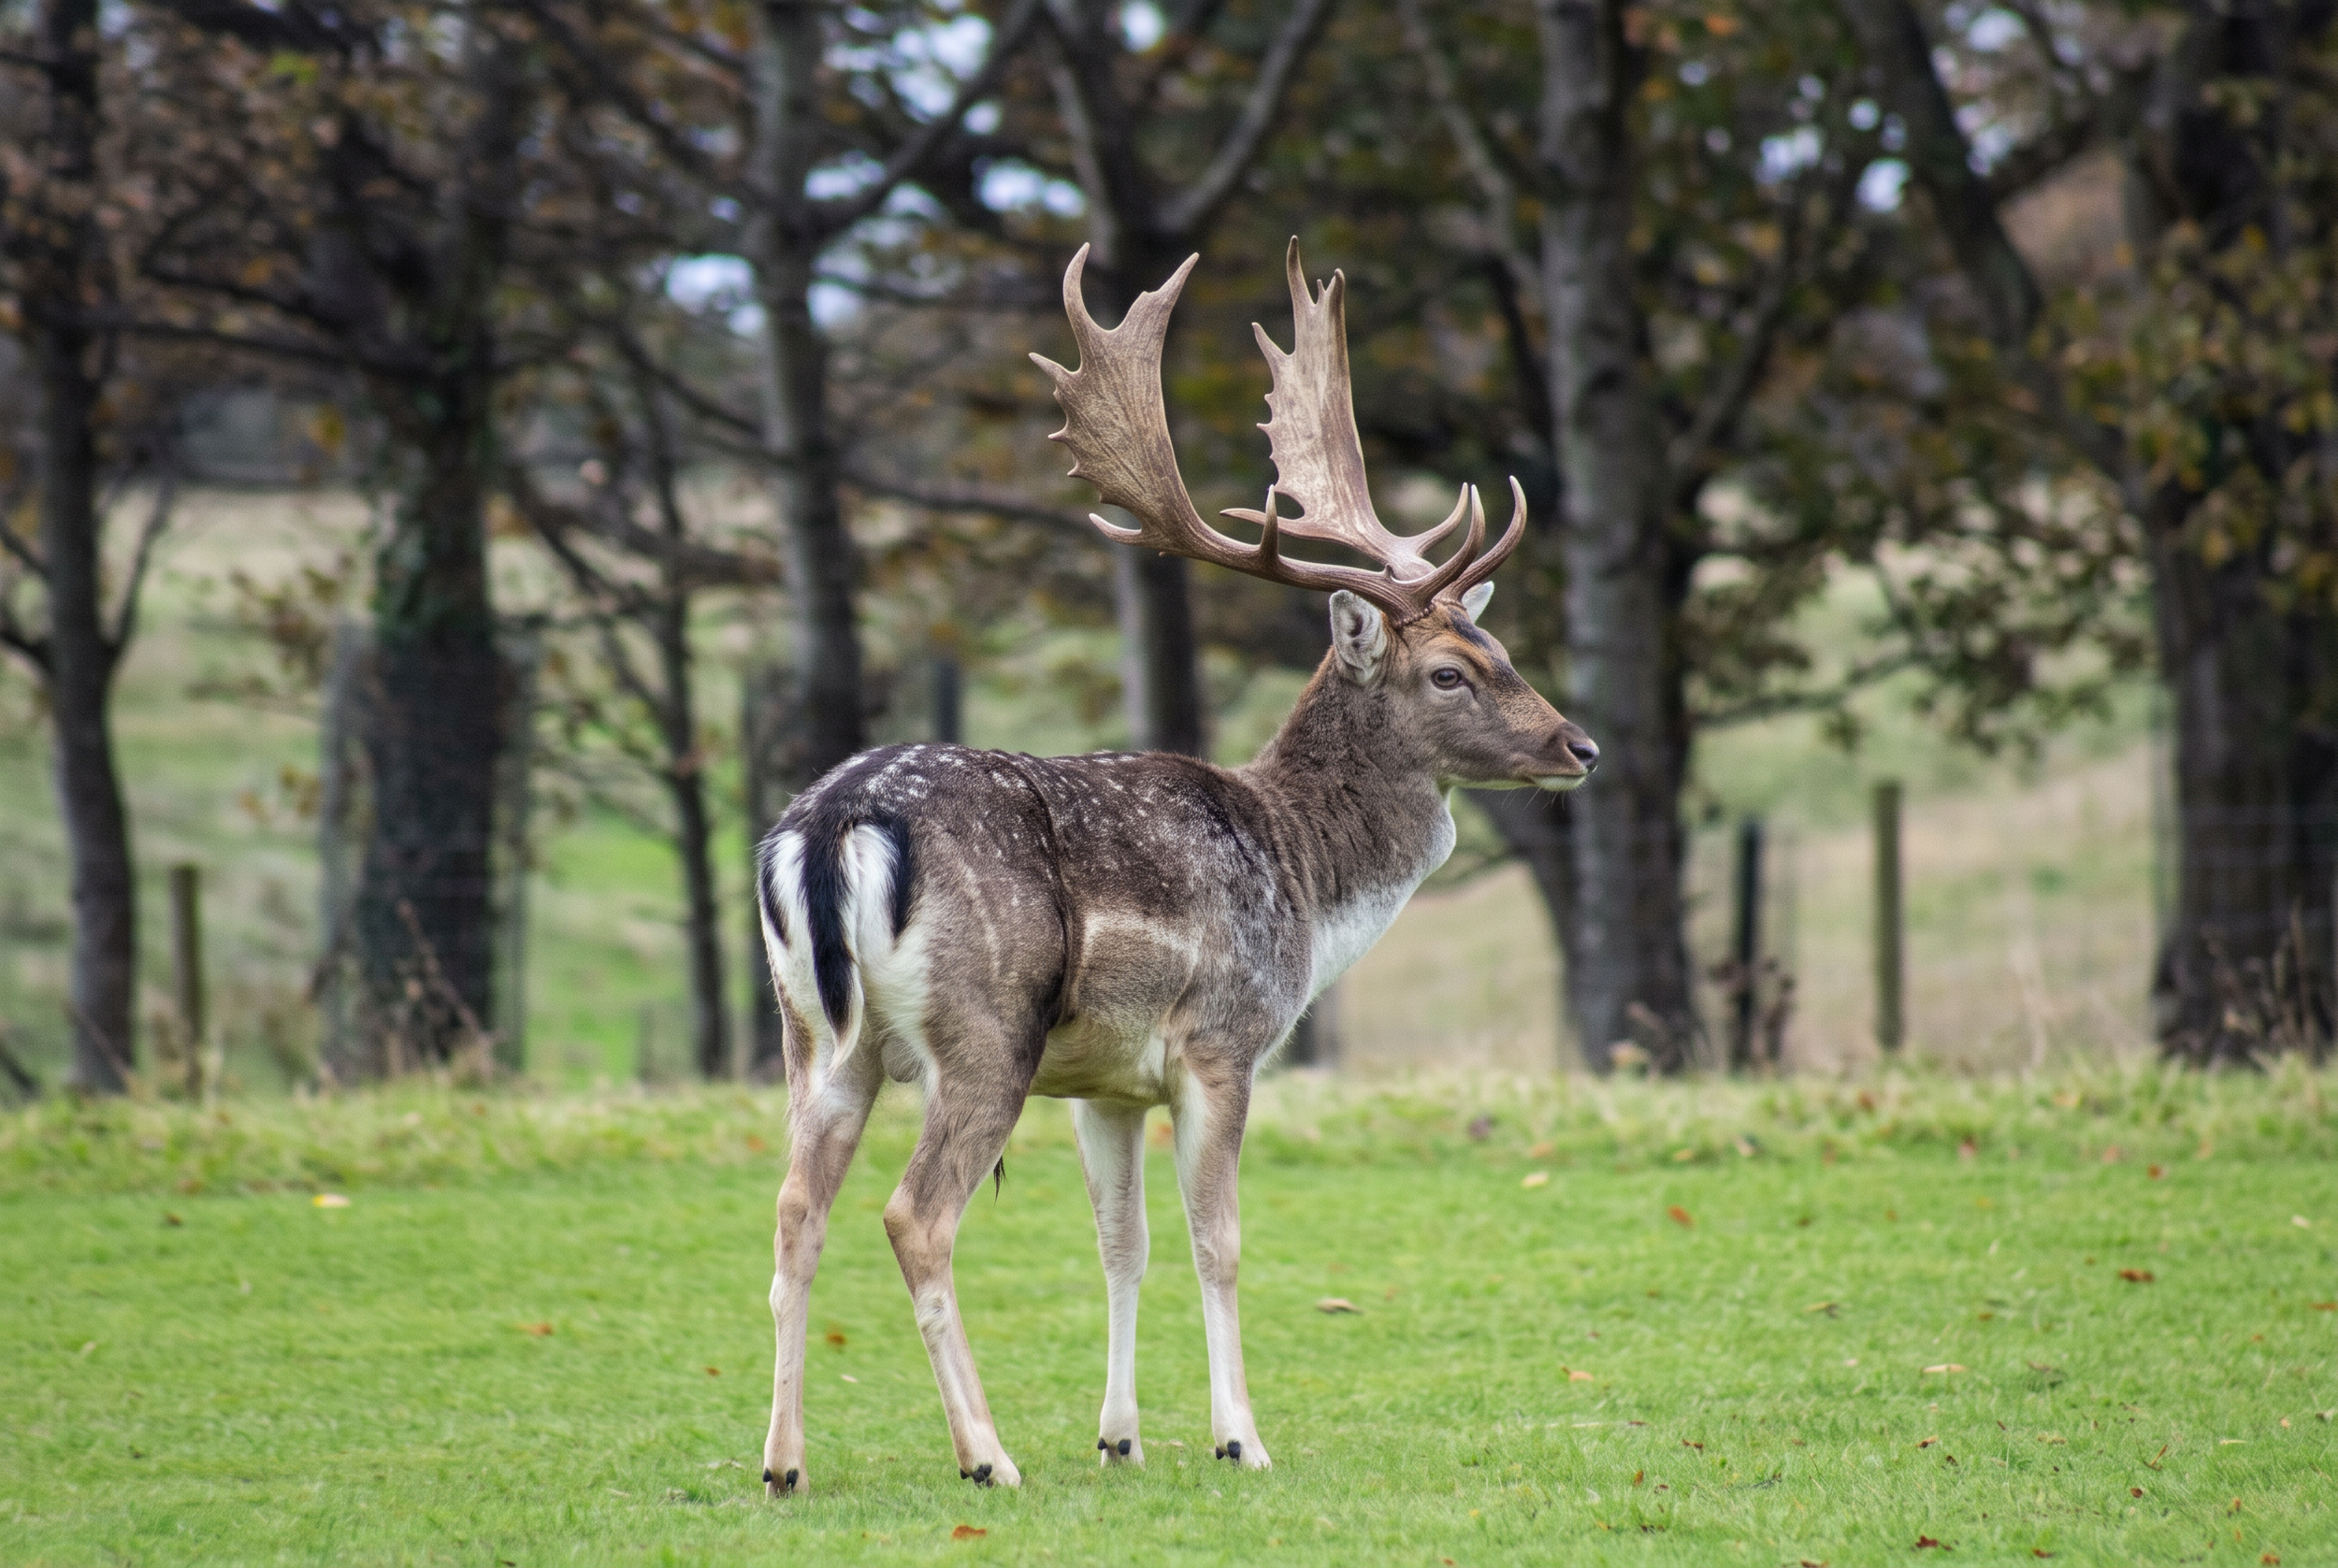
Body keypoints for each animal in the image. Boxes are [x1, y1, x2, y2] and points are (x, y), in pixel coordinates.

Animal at [754, 240, 1598, 1498]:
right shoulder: (1220, 1041)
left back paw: (783, 1464)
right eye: (1450, 671)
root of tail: (833, 824)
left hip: (816, 1039)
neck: (1304, 880)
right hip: (984, 1031)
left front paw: (1120, 1435)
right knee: (914, 1216)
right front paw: (1239, 1435)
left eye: (1498, 648)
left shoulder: (1103, 1083)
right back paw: (985, 1458)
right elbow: (1219, 1241)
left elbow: (1122, 1243)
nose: (1579, 747)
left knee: (794, 1209)